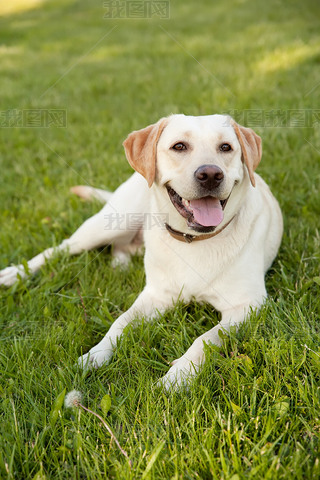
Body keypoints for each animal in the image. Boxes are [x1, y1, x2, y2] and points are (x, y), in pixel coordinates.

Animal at [0, 116, 282, 390]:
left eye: (225, 147)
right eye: (179, 146)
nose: (211, 174)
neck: (194, 240)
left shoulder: (247, 305)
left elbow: (206, 339)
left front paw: (178, 377)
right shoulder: (155, 296)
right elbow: (120, 322)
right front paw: (95, 355)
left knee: (119, 247)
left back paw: (120, 265)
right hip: (112, 222)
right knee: (61, 247)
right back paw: (14, 274)